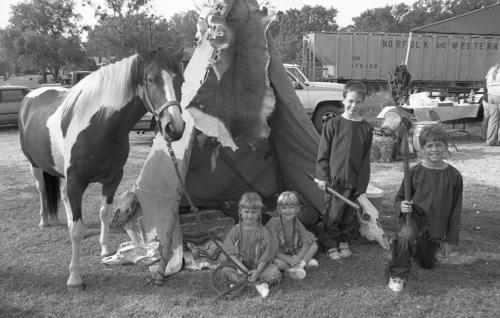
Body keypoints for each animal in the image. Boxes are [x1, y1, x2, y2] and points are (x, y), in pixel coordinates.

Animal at [18, 49, 186, 288]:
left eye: (180, 80)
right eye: (151, 79)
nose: (175, 127)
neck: (101, 126)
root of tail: (31, 95)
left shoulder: (113, 178)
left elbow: (104, 213)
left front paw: (105, 250)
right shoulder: (76, 181)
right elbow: (77, 231)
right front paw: (74, 278)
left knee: (62, 194)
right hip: (35, 165)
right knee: (42, 190)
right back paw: (43, 220)